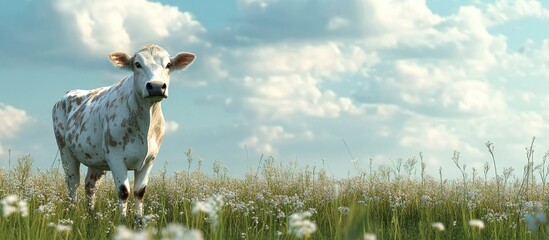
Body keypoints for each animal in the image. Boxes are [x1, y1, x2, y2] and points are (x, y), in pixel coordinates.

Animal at [51, 44, 196, 220]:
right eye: (137, 64)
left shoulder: (150, 159)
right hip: (65, 150)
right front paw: (123, 220)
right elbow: (123, 191)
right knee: (73, 183)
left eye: (168, 65)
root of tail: (69, 93)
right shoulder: (115, 157)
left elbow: (139, 192)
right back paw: (72, 212)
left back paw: (91, 215)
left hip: (96, 158)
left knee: (90, 185)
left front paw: (139, 220)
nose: (156, 86)